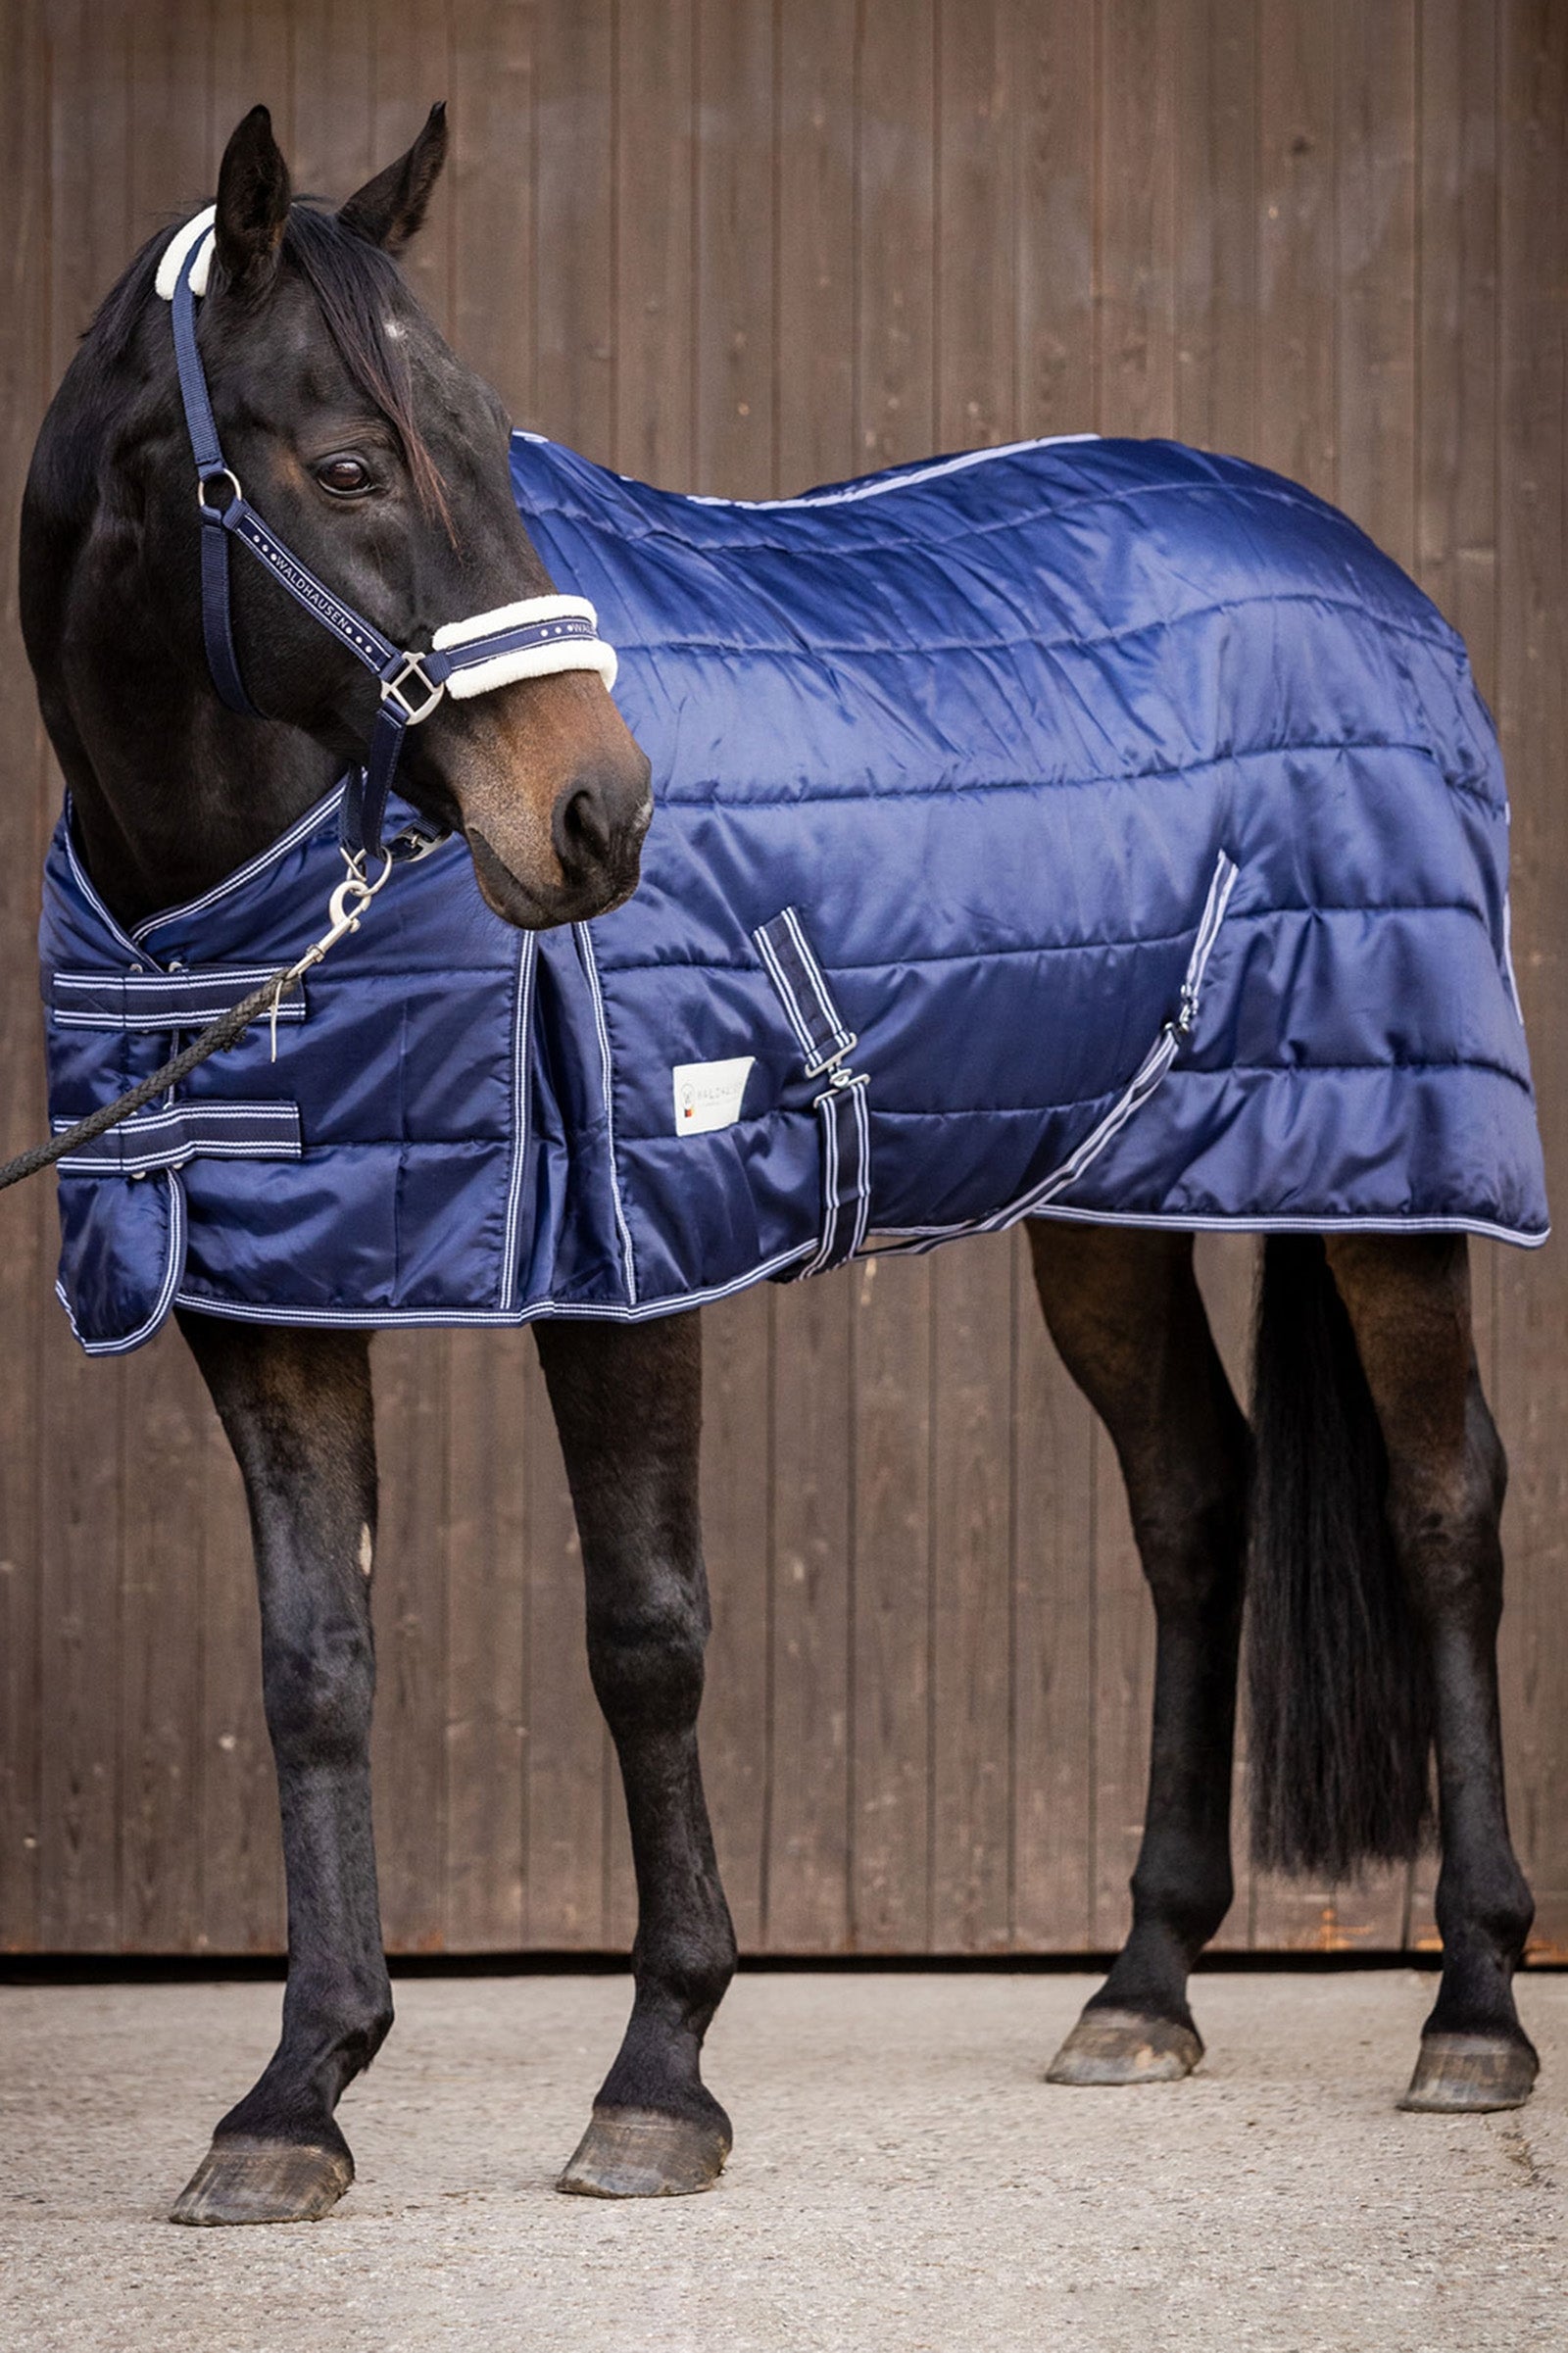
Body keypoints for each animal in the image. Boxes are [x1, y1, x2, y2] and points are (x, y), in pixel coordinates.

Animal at [19, 103, 1541, 2227]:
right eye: (347, 464)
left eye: (493, 443)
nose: (600, 813)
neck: (240, 905)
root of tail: (1364, 571)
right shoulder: (266, 1298)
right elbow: (314, 1668)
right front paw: (291, 2098)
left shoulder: (625, 1267)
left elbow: (645, 1637)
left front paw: (659, 2073)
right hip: (1100, 1200)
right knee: (1191, 1499)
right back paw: (1141, 1986)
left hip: (1389, 1178)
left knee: (1441, 1510)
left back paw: (1471, 2010)